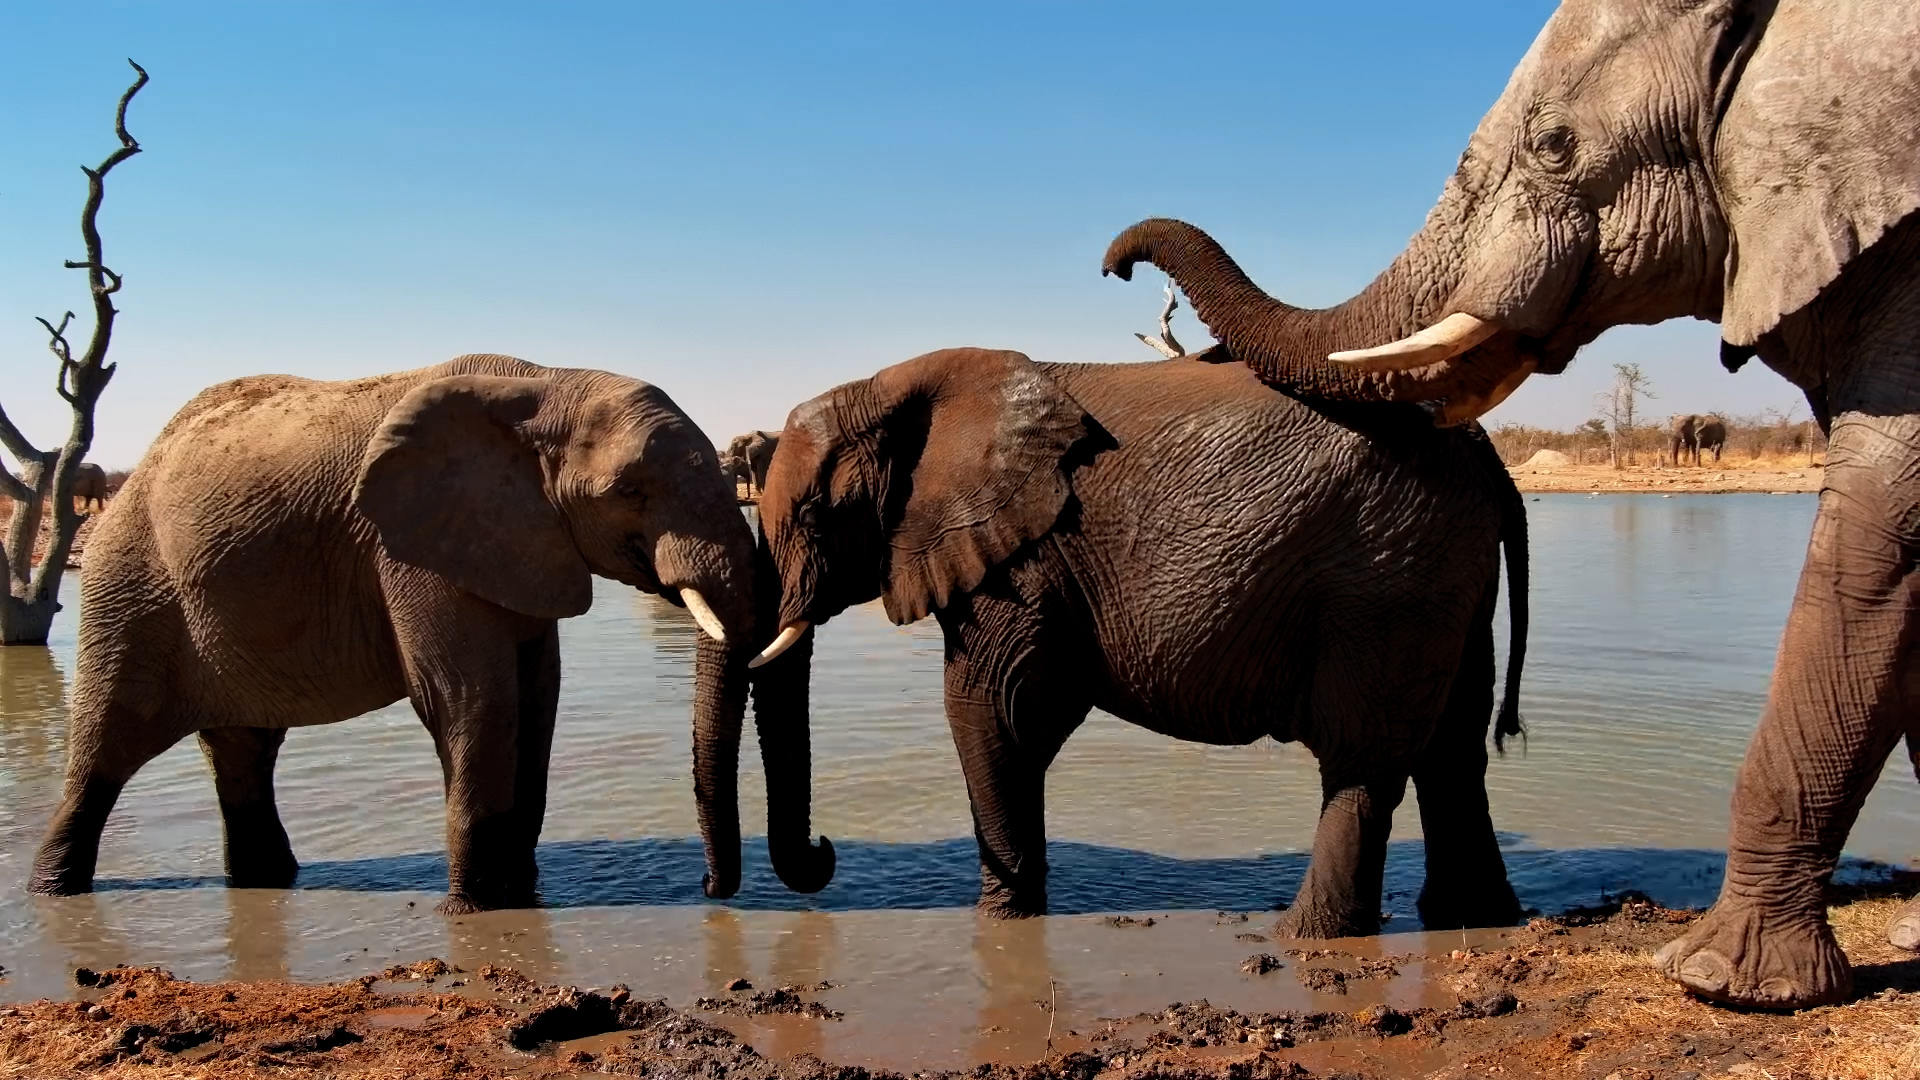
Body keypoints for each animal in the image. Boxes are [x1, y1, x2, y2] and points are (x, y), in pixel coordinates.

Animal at [30, 353, 833, 913]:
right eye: (628, 492)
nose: (711, 890)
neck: (548, 383)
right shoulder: (410, 550)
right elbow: (471, 697)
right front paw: (476, 911)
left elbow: (536, 701)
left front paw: (517, 898)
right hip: (129, 583)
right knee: (107, 745)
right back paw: (54, 895)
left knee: (243, 751)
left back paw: (267, 883)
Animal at [746, 347, 1527, 937]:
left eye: (813, 513)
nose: (824, 849)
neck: (892, 385)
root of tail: (1478, 445)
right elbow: (1025, 718)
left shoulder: (1021, 556)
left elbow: (988, 708)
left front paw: (1002, 924)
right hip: (1444, 571)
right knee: (1453, 753)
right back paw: (1472, 917)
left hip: (1386, 578)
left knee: (1363, 762)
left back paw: (1305, 938)